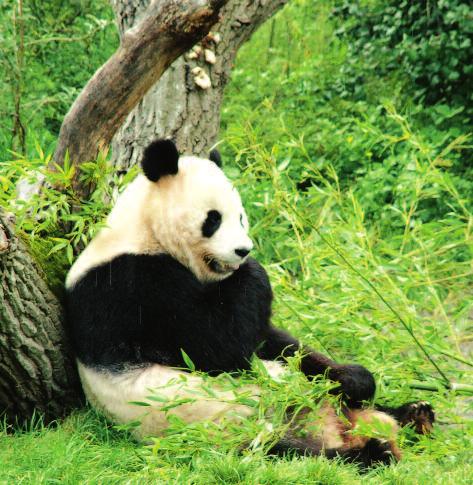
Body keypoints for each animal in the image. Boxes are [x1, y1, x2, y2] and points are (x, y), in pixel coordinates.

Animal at [64, 139, 434, 466]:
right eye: (213, 219)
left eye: (240, 217)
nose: (243, 250)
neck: (145, 232)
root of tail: (332, 426)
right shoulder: (138, 288)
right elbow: (220, 345)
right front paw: (253, 271)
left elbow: (277, 342)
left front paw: (355, 378)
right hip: (231, 431)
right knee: (294, 454)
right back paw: (374, 450)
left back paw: (414, 414)